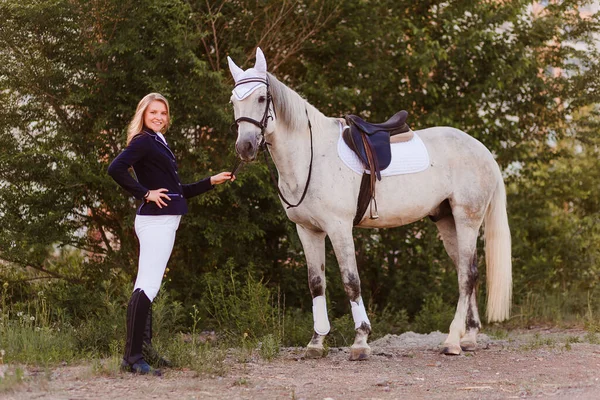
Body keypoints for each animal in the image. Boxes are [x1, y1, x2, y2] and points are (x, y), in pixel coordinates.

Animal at [227, 47, 508, 360]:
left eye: (261, 98)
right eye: (233, 101)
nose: (245, 147)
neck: (312, 156)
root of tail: (482, 150)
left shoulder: (339, 228)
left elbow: (351, 281)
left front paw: (361, 341)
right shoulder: (308, 231)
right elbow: (316, 284)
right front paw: (316, 342)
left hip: (467, 218)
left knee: (467, 275)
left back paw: (452, 341)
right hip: (447, 221)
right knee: (465, 271)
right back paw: (468, 337)